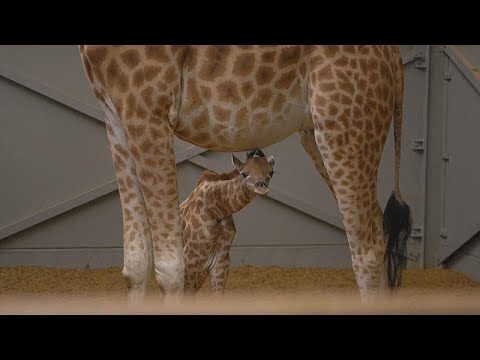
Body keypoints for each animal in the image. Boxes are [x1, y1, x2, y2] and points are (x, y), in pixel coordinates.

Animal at [180, 148, 276, 296]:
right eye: (244, 173)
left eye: (271, 172)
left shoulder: (220, 263)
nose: (262, 187)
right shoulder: (190, 259)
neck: (217, 210)